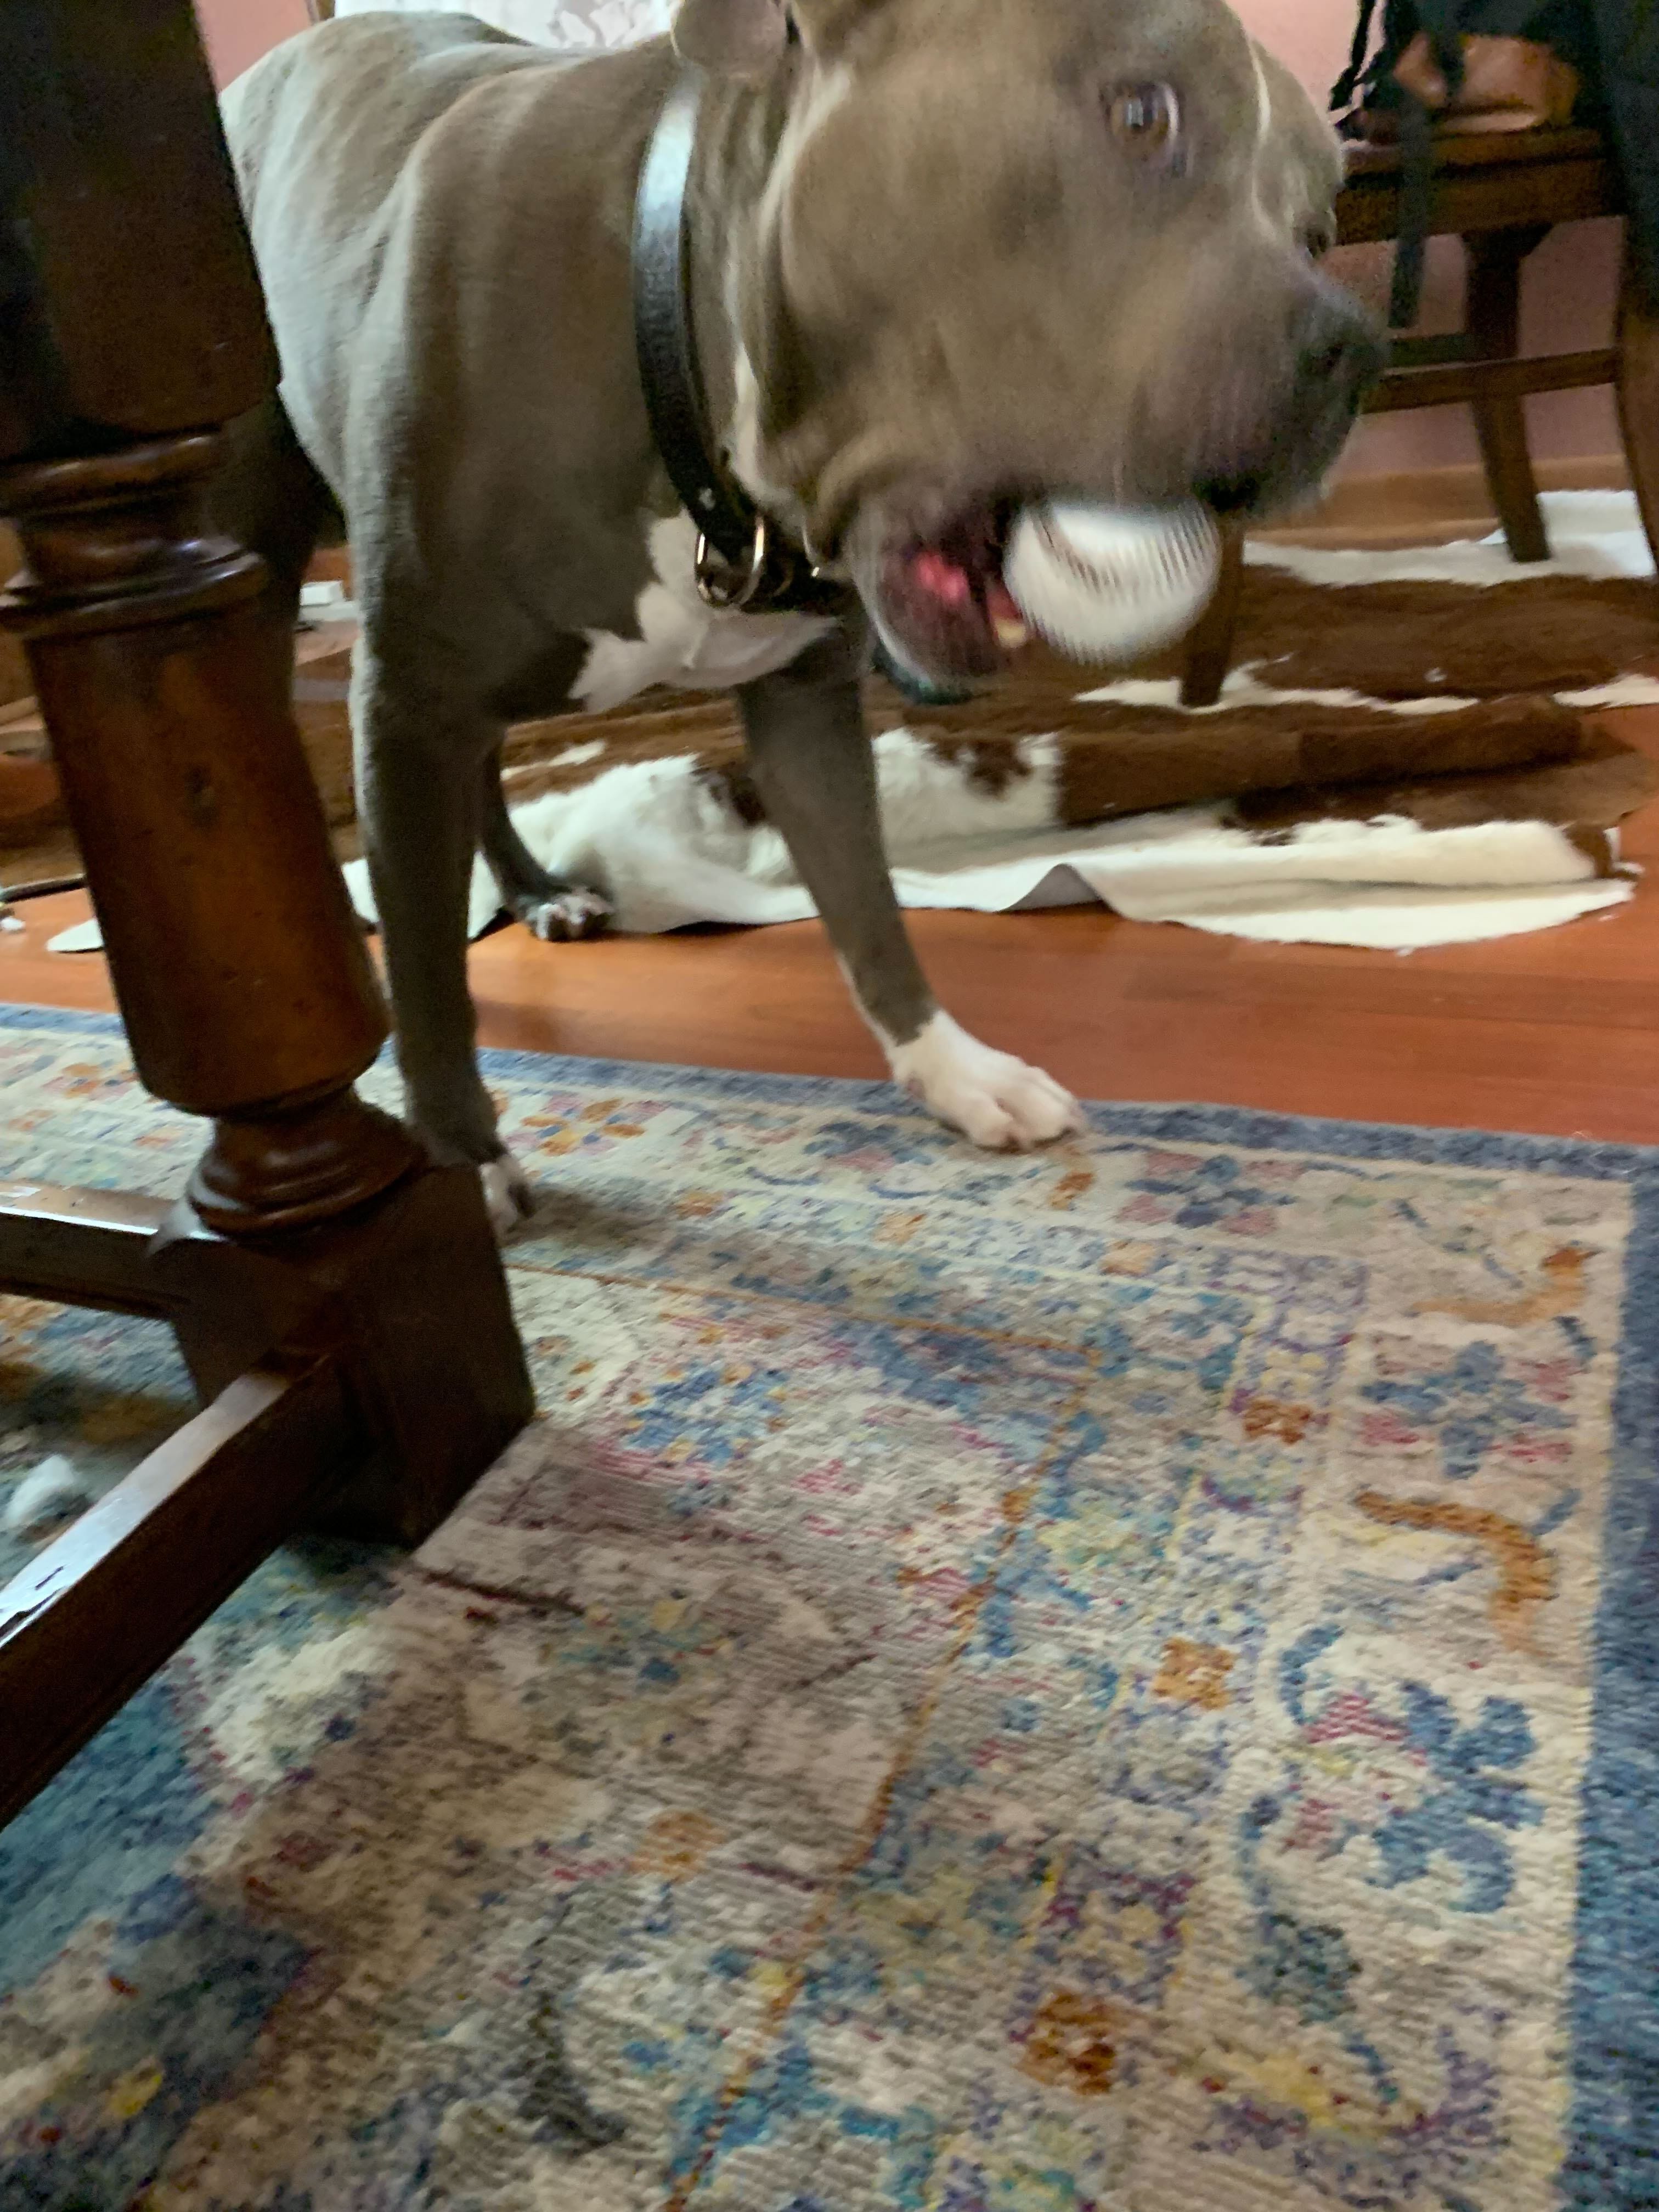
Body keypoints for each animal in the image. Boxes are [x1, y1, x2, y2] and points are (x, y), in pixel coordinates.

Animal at [215, 0, 1381, 1234]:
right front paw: (456, 1163)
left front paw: (953, 1071)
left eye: (1315, 224)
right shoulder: (408, 701)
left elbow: (867, 902)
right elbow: (435, 980)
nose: (1357, 353)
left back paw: (535, 891)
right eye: (1143, 114)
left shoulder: (805, 706)